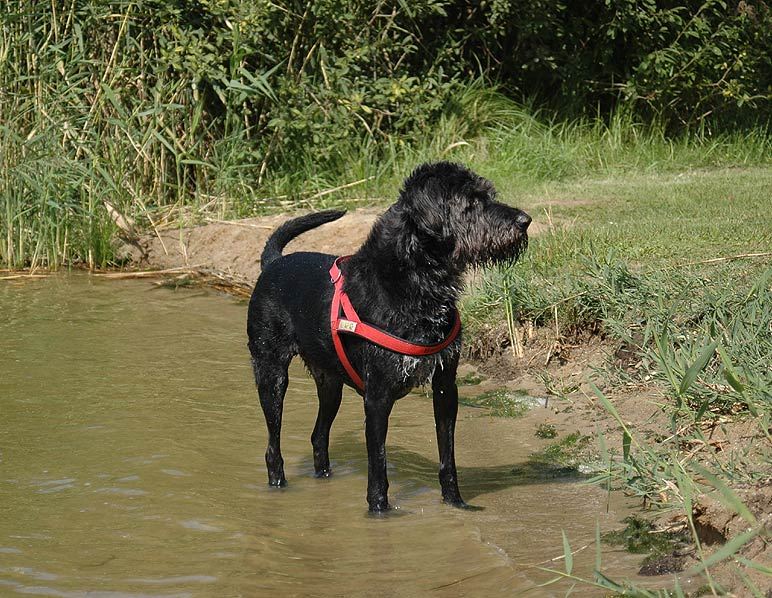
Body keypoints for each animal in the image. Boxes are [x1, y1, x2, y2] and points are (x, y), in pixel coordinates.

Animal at [249, 162, 532, 512]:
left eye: (489, 194)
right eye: (471, 202)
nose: (525, 221)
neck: (419, 281)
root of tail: (273, 263)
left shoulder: (445, 387)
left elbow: (448, 454)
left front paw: (455, 502)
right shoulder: (377, 397)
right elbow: (378, 462)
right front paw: (379, 510)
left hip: (330, 383)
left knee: (318, 436)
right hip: (270, 374)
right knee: (272, 446)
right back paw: (279, 485)